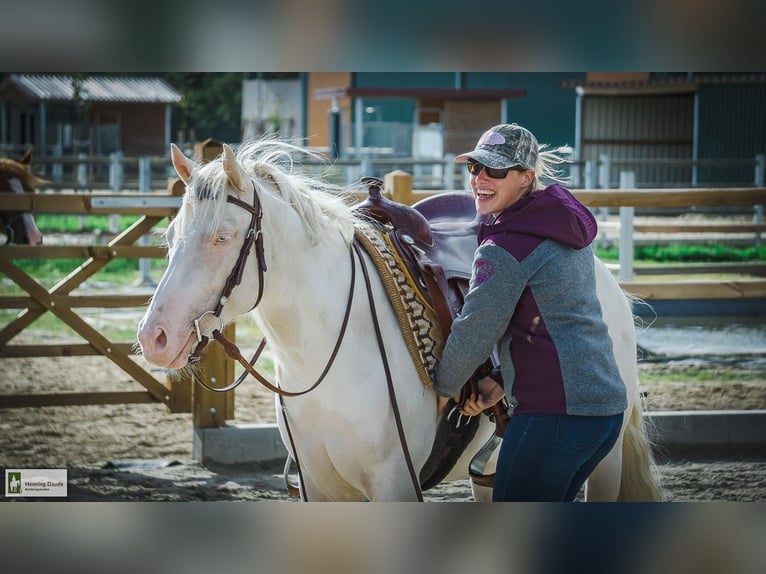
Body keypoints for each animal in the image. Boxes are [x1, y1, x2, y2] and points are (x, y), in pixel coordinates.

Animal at [138, 141, 664, 504]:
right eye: (170, 234)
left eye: (222, 237)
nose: (154, 337)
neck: (328, 356)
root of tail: (605, 281)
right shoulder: (319, 490)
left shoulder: (394, 484)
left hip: (604, 461)